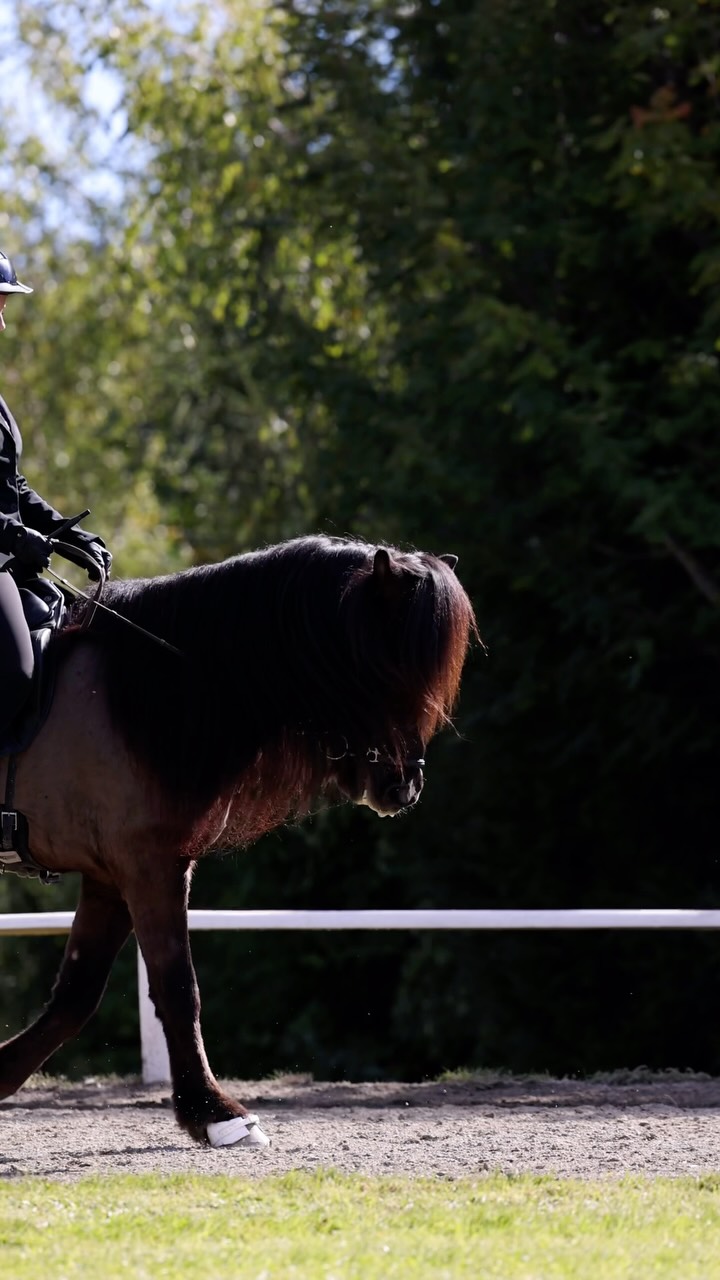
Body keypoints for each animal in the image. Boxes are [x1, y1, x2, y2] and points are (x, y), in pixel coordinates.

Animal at [0, 534, 477, 1148]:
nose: (405, 786)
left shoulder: (113, 875)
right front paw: (216, 1113)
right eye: (385, 665)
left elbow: (76, 995)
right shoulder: (148, 866)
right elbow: (179, 988)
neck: (153, 689)